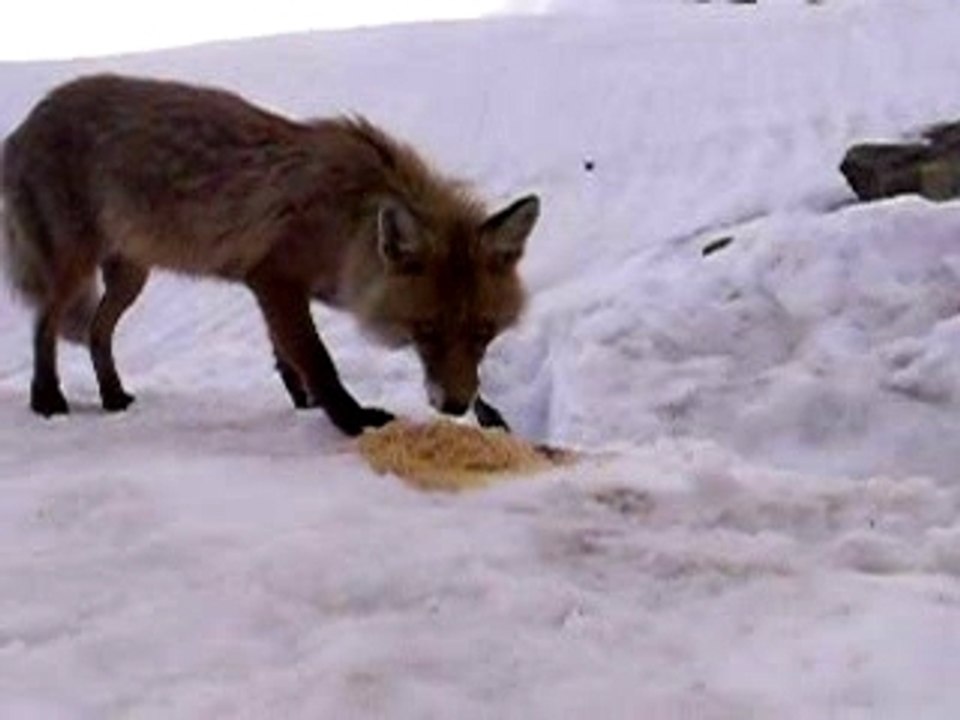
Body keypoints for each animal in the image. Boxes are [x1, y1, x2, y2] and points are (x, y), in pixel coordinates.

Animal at [0, 74, 539, 436]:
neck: (348, 226)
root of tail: (24, 124)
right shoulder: (274, 277)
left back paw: (112, 396)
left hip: (131, 276)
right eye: (424, 330)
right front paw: (351, 419)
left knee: (97, 331)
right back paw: (46, 399)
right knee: (45, 324)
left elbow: (287, 354)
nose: (453, 407)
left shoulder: (283, 289)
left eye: (485, 332)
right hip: (74, 267)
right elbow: (316, 358)